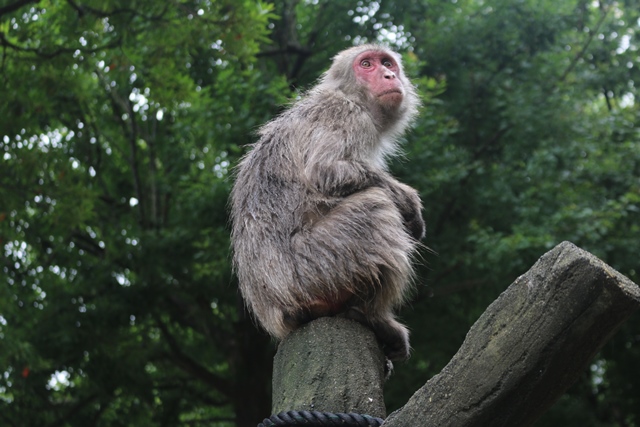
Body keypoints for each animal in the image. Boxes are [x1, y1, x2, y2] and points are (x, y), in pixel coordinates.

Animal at [231, 43, 424, 362]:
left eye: (387, 63)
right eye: (367, 64)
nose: (388, 75)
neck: (352, 97)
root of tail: (277, 314)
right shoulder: (345, 115)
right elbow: (325, 171)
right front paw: (408, 201)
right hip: (315, 269)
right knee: (375, 205)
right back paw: (371, 316)